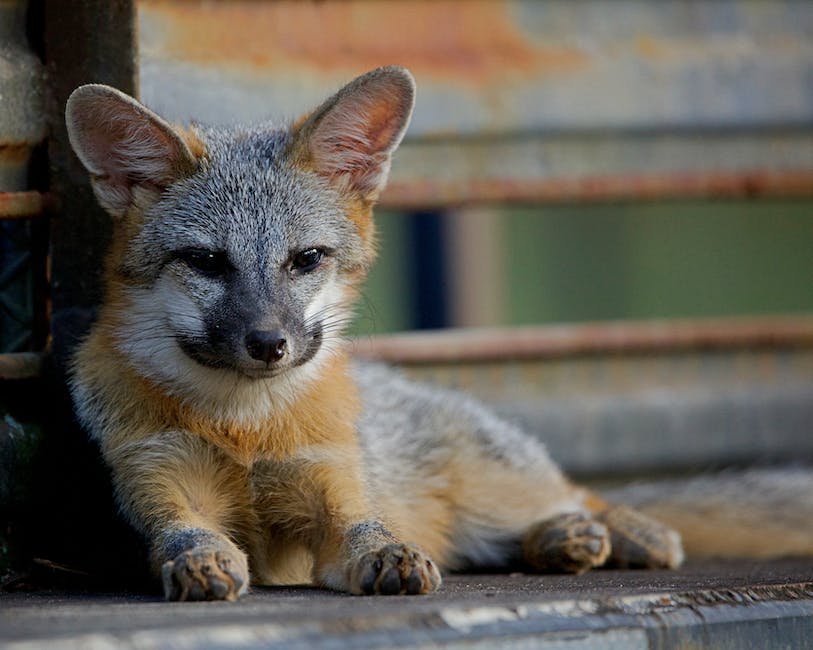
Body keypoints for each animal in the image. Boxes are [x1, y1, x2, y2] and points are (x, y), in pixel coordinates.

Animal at [66, 66, 772, 596]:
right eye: (208, 262)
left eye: (306, 259)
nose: (269, 344)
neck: (246, 428)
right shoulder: (156, 479)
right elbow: (184, 531)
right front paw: (199, 560)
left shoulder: (330, 489)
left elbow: (366, 529)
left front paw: (389, 555)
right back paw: (563, 540)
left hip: (494, 492)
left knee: (575, 493)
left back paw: (618, 530)